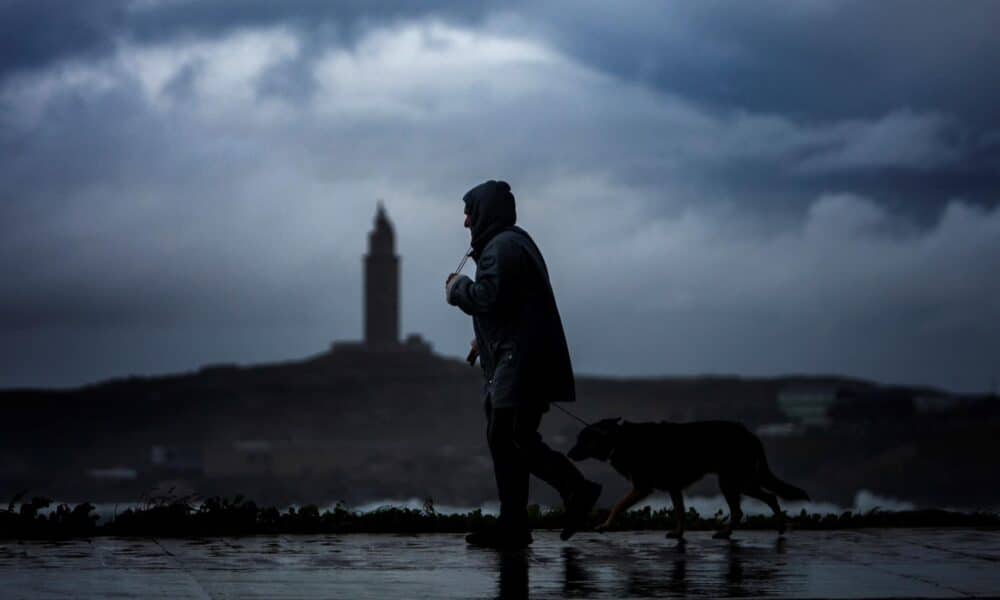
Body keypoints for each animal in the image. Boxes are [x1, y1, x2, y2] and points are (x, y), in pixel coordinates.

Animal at [568, 418, 808, 540]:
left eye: (583, 440)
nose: (569, 454)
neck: (618, 439)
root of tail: (749, 434)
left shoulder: (642, 488)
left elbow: (618, 506)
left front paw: (605, 525)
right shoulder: (673, 488)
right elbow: (680, 512)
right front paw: (678, 533)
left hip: (735, 481)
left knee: (765, 499)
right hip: (735, 481)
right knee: (757, 502)